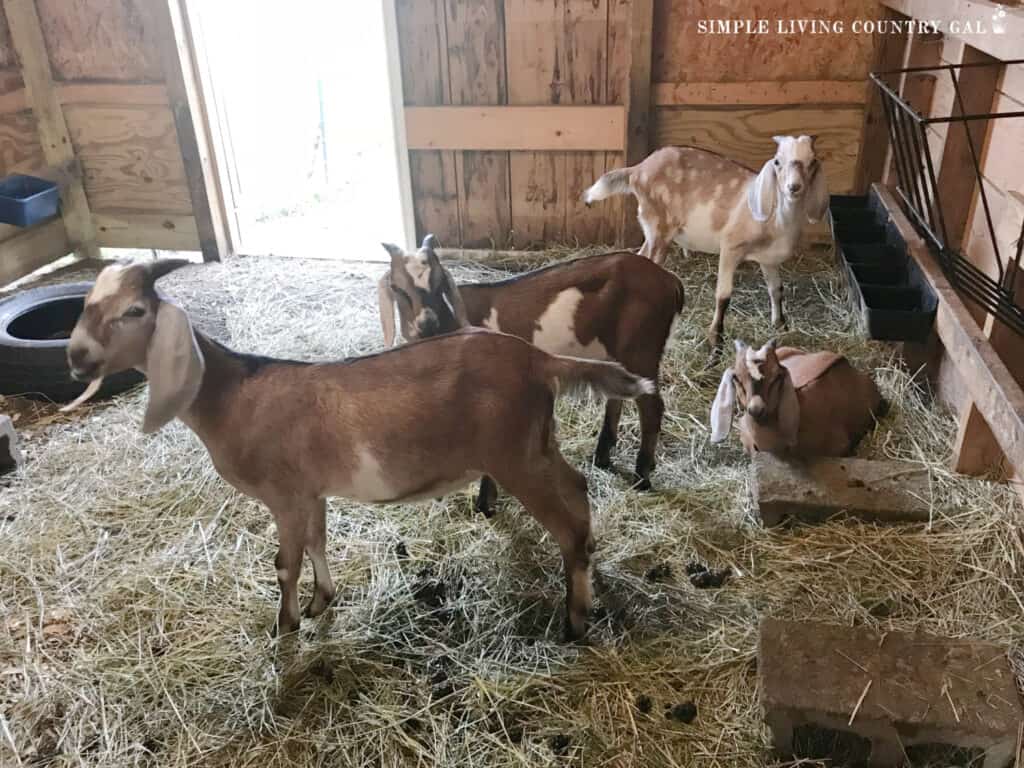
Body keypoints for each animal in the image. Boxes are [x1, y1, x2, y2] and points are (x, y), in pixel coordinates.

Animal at [66, 262, 655, 638]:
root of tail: (539, 361)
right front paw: (322, 601)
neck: (235, 393)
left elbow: (285, 562)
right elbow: (317, 543)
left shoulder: (284, 495)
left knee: (568, 523)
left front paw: (286, 626)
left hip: (516, 457)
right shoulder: (310, 494)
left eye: (135, 310)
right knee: (578, 489)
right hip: (536, 444)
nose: (76, 357)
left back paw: (575, 620)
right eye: (87, 305)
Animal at [380, 236, 684, 512]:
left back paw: (642, 476)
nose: (427, 323)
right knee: (617, 397)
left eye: (440, 281)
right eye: (396, 287)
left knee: (652, 408)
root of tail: (669, 280)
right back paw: (602, 457)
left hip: (642, 349)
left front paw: (485, 503)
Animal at [585, 134, 831, 346]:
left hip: (653, 228)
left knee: (640, 256)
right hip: (659, 225)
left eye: (812, 161)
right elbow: (723, 295)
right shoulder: (731, 246)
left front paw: (781, 326)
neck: (777, 219)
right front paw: (716, 338)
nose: (794, 188)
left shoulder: (768, 259)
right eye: (778, 162)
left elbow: (776, 290)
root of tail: (636, 170)